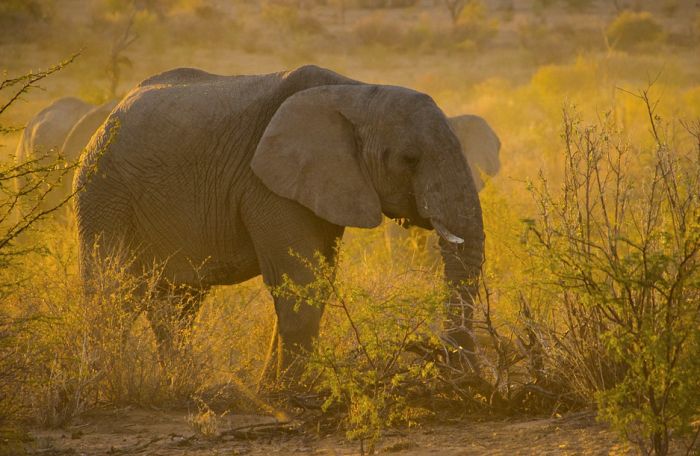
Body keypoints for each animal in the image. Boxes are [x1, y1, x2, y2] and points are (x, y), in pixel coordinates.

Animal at [74, 63, 484, 378]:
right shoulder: (265, 185)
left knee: (176, 306)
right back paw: (108, 385)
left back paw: (182, 386)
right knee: (113, 293)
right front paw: (287, 393)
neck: (357, 92)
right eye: (410, 159)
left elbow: (317, 280)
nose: (446, 366)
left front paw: (277, 389)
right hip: (103, 193)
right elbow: (300, 282)